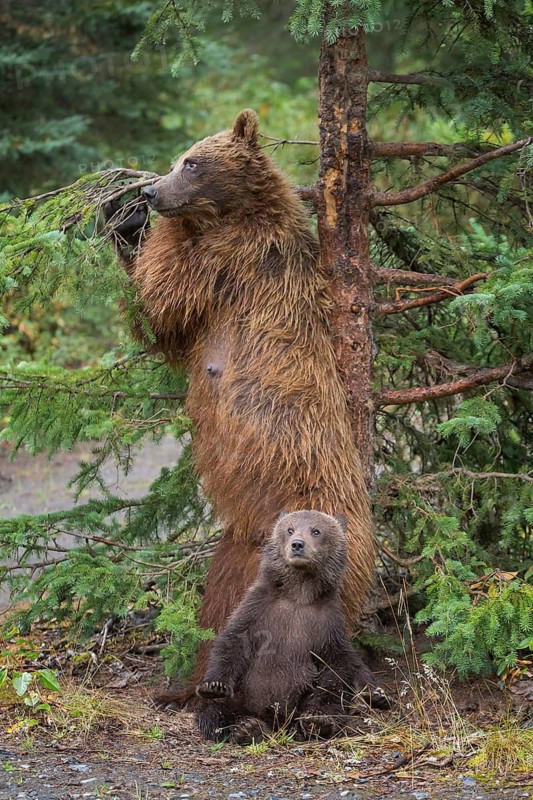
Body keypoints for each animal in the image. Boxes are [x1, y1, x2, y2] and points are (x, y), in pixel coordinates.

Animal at [104, 110, 375, 707]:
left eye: (192, 161)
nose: (153, 191)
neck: (236, 214)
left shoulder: (233, 259)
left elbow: (164, 293)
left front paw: (125, 220)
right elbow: (166, 331)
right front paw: (122, 211)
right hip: (237, 555)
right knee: (220, 608)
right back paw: (185, 685)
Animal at [195, 510, 375, 744]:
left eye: (316, 531)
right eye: (289, 529)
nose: (297, 544)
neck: (299, 594)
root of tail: (275, 722)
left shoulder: (327, 621)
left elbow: (338, 663)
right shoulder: (258, 607)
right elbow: (234, 639)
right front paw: (214, 686)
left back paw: (317, 722)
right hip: (240, 697)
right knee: (214, 711)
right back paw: (246, 727)